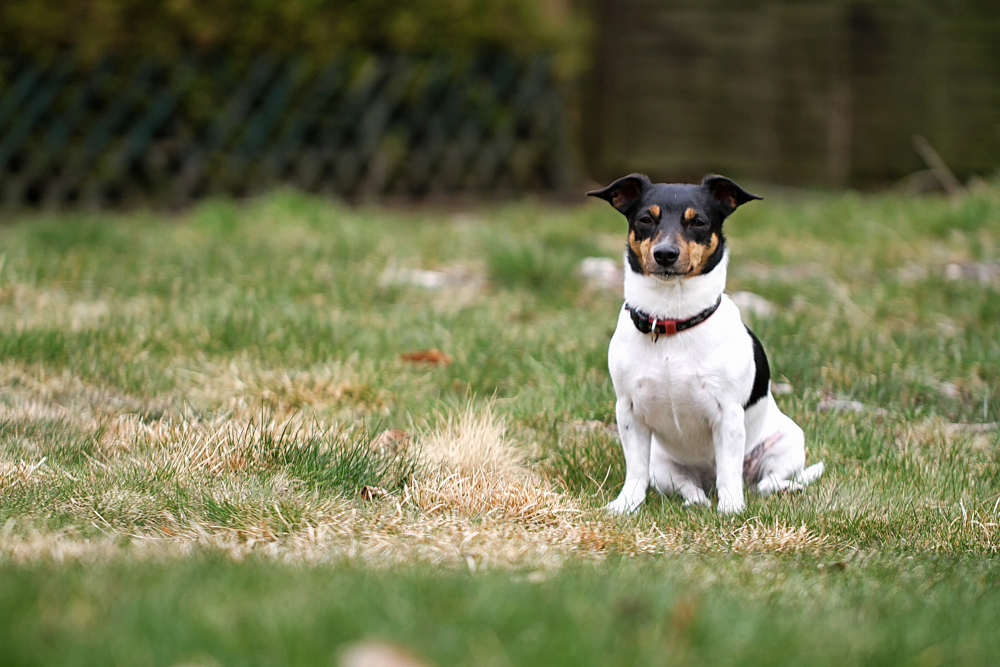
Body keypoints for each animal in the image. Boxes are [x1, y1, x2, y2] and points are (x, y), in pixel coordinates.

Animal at [584, 174, 820, 516]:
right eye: (645, 219)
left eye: (698, 222)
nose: (665, 254)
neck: (673, 321)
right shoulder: (628, 411)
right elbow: (635, 470)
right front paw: (626, 504)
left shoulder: (729, 416)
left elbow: (729, 471)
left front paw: (732, 509)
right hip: (663, 466)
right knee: (688, 486)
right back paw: (696, 499)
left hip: (788, 442)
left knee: (765, 481)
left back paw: (778, 488)